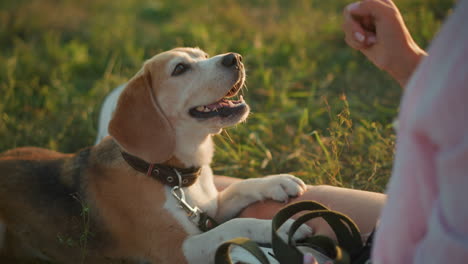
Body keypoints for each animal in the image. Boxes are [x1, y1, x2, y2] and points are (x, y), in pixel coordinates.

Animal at [0, 48, 310, 264]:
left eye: (204, 56)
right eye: (180, 68)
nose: (235, 58)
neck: (171, 175)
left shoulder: (208, 208)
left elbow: (237, 189)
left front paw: (276, 182)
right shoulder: (179, 250)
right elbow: (235, 225)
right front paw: (283, 228)